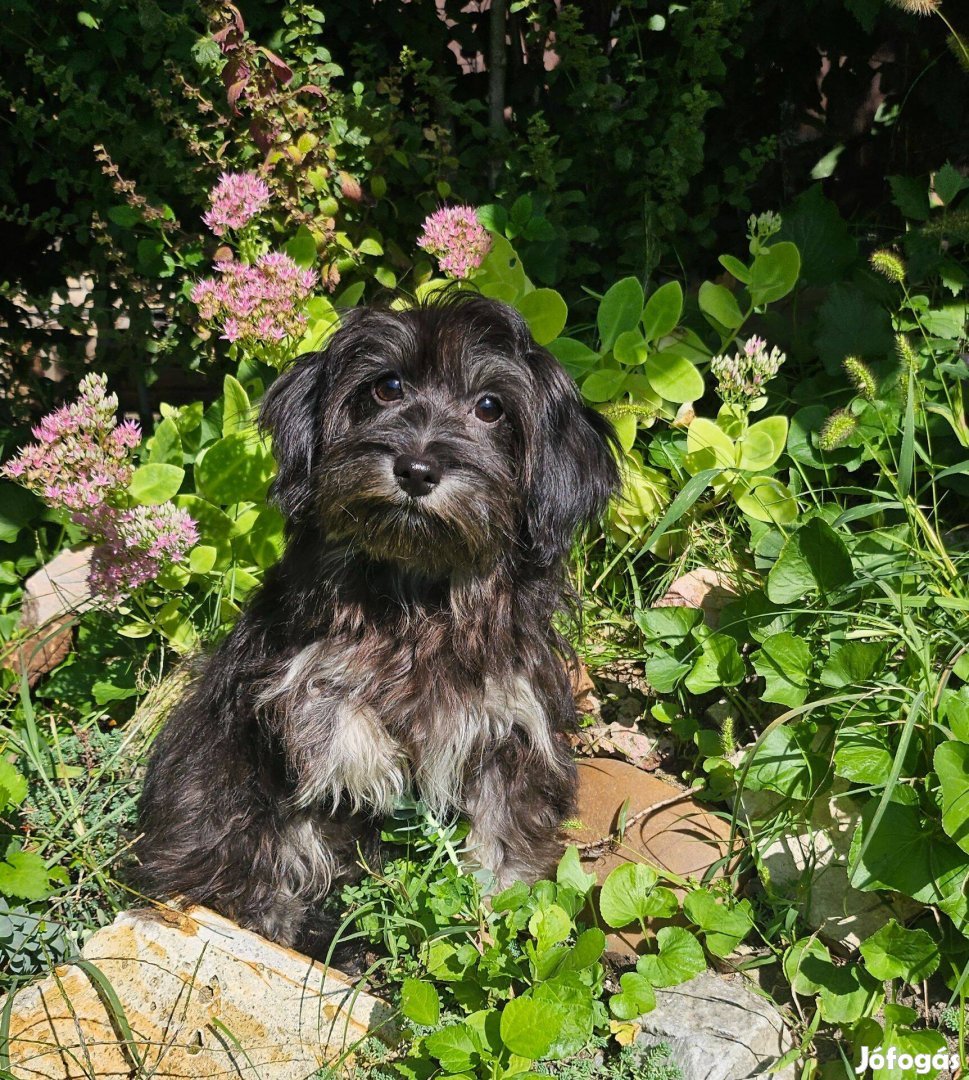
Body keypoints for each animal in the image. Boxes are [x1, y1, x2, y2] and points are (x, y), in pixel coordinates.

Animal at [132, 295, 617, 946]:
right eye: (387, 387)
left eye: (491, 407)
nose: (416, 468)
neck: (420, 592)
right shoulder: (286, 668)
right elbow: (326, 705)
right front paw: (378, 766)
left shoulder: (515, 721)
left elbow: (503, 831)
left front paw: (498, 910)